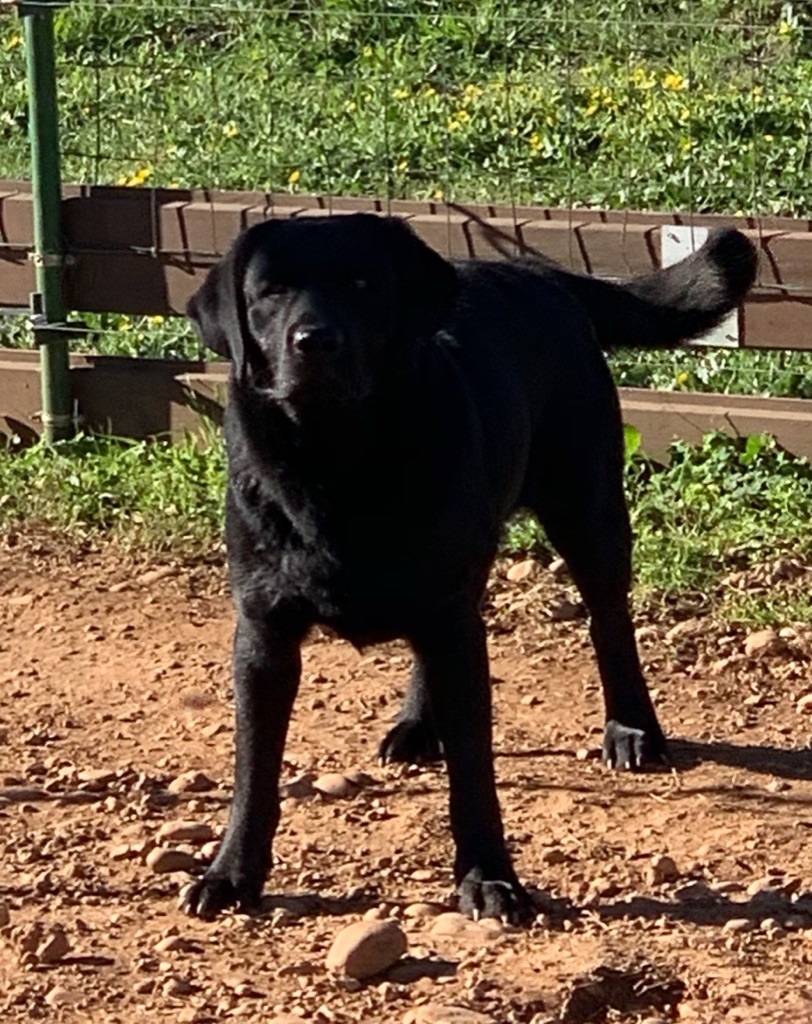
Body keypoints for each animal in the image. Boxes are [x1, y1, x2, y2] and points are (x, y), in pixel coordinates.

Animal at [182, 211, 753, 925]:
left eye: (363, 284)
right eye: (270, 291)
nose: (315, 342)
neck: (338, 462)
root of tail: (536, 272)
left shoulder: (453, 624)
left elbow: (475, 774)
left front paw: (489, 878)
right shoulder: (264, 634)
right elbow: (254, 771)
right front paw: (231, 875)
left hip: (586, 508)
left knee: (609, 621)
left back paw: (632, 728)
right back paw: (418, 727)